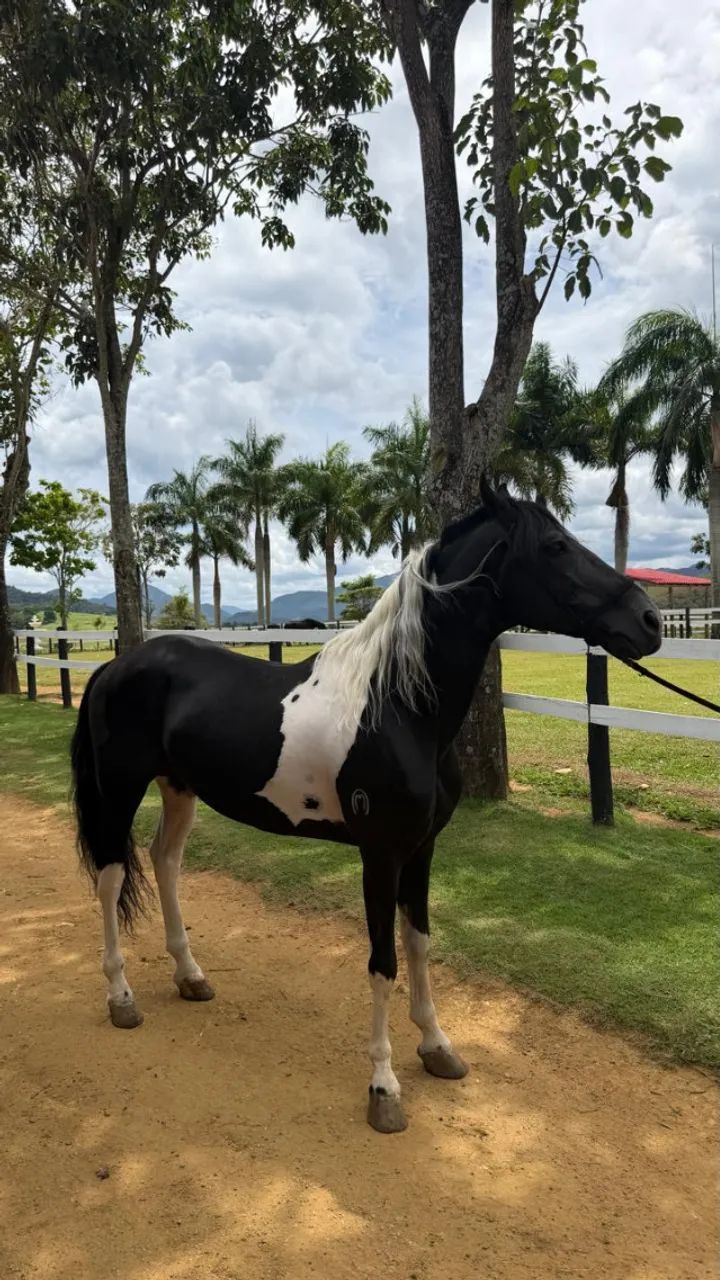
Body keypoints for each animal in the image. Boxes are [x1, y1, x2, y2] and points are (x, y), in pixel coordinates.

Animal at [71, 483, 661, 1134]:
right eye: (556, 545)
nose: (650, 620)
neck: (400, 706)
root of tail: (114, 665)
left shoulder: (423, 849)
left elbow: (419, 942)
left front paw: (436, 1046)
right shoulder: (379, 855)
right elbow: (383, 961)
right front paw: (384, 1088)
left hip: (178, 788)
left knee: (166, 861)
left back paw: (190, 976)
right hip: (118, 790)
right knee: (110, 876)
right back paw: (121, 997)